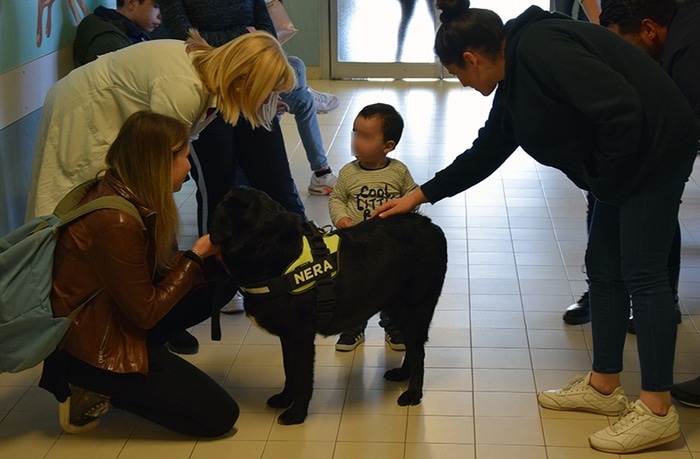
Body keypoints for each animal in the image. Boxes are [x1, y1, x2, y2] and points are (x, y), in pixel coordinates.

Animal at [209, 187, 448, 424]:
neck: (268, 247)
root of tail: (430, 225)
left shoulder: (300, 337)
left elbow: (302, 377)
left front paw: (297, 413)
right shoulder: (287, 337)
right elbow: (289, 370)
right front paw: (285, 397)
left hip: (413, 309)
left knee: (418, 353)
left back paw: (413, 394)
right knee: (413, 349)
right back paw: (402, 374)